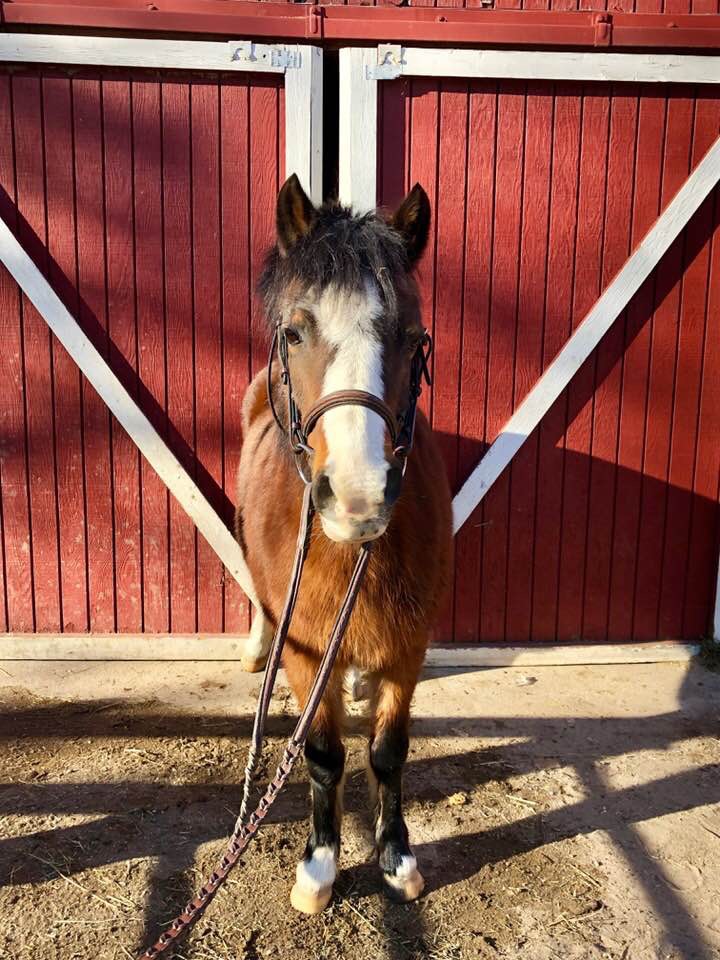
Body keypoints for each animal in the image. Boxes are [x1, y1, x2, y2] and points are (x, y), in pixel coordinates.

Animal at [235, 174, 453, 915]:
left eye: (414, 338)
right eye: (296, 331)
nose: (359, 496)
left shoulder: (410, 647)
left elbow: (388, 751)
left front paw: (397, 857)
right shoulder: (308, 654)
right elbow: (325, 754)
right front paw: (320, 865)